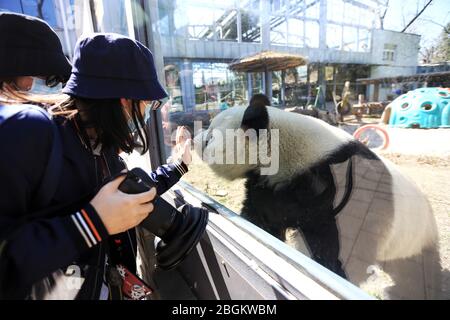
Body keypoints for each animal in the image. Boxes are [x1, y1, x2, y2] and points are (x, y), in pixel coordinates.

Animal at [195, 101, 444, 298]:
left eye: (210, 137)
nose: (195, 139)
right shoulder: (274, 185)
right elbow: (264, 217)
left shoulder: (337, 185)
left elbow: (340, 244)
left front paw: (333, 270)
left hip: (414, 233)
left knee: (413, 271)